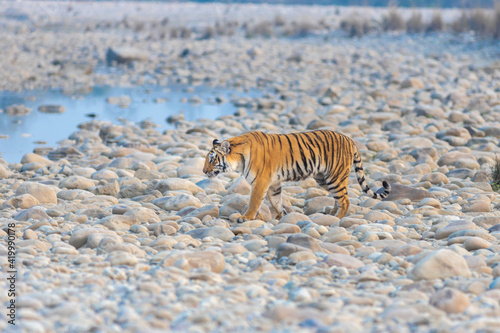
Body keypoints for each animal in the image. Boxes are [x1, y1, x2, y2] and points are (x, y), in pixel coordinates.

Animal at [203, 129, 390, 220]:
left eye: (212, 159)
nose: (204, 171)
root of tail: (349, 139)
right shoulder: (273, 184)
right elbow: (276, 202)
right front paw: (282, 217)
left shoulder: (260, 182)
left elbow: (254, 202)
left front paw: (245, 218)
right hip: (324, 179)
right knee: (340, 198)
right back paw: (331, 215)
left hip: (334, 177)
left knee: (345, 200)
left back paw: (337, 220)